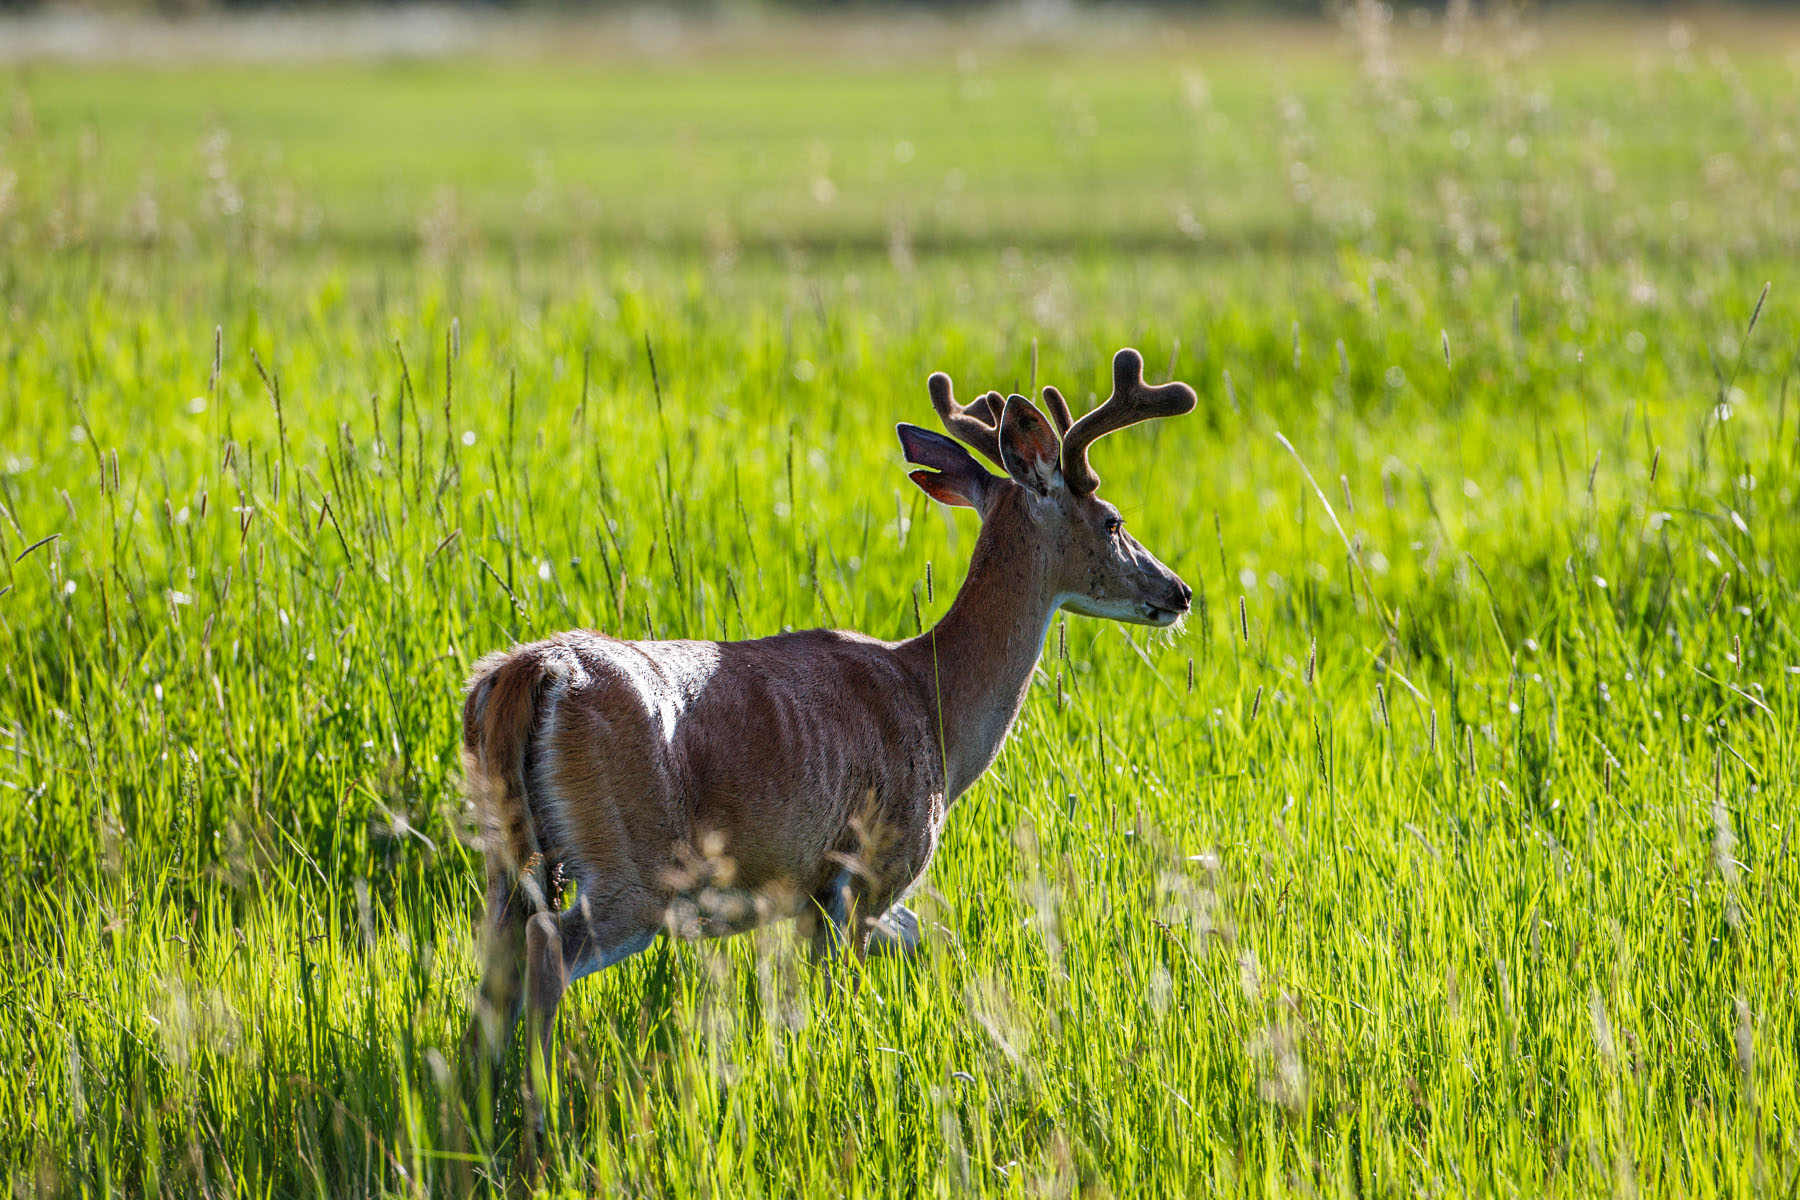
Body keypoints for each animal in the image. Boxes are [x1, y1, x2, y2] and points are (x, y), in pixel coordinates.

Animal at [460, 345, 1195, 1086]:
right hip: (632, 862)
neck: (936, 706)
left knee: (496, 962)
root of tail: (535, 670)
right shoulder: (874, 864)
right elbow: (845, 990)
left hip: (504, 851)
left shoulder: (818, 890)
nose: (1179, 592)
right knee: (547, 948)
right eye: (1113, 521)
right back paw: (540, 1100)